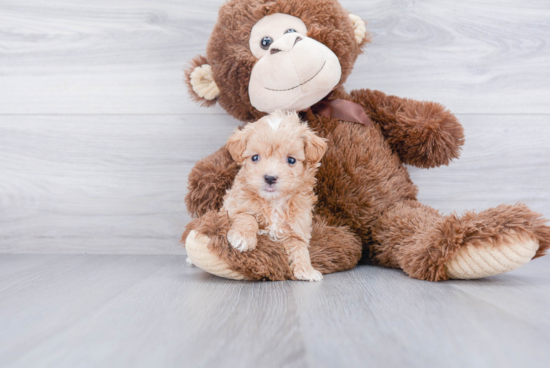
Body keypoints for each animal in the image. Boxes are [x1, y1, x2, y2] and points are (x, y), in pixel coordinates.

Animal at [223, 110, 328, 280]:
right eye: (255, 157)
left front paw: (307, 270)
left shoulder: (297, 227)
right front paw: (243, 238)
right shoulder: (233, 206)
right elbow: (247, 217)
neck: (274, 203)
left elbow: (300, 247)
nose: (270, 178)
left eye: (291, 160)